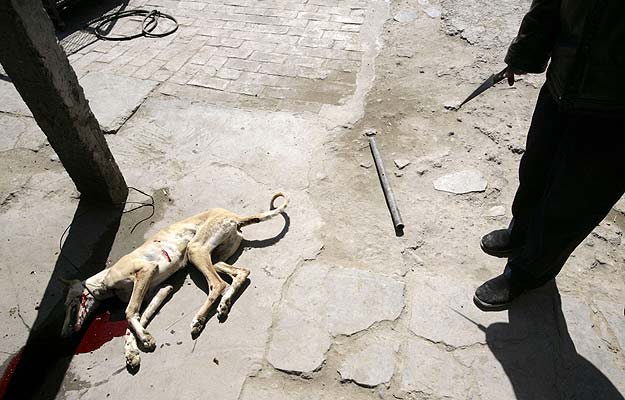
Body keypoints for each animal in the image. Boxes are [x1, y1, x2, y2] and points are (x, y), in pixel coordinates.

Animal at [61, 192, 288, 368]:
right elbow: (133, 322)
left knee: (218, 284)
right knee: (241, 273)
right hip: (214, 257)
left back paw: (199, 320)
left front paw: (143, 339)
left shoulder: (145, 271)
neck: (105, 280)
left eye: (69, 303)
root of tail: (235, 216)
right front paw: (133, 351)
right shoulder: (161, 289)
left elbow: (129, 312)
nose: (63, 336)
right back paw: (224, 305)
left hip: (195, 249)